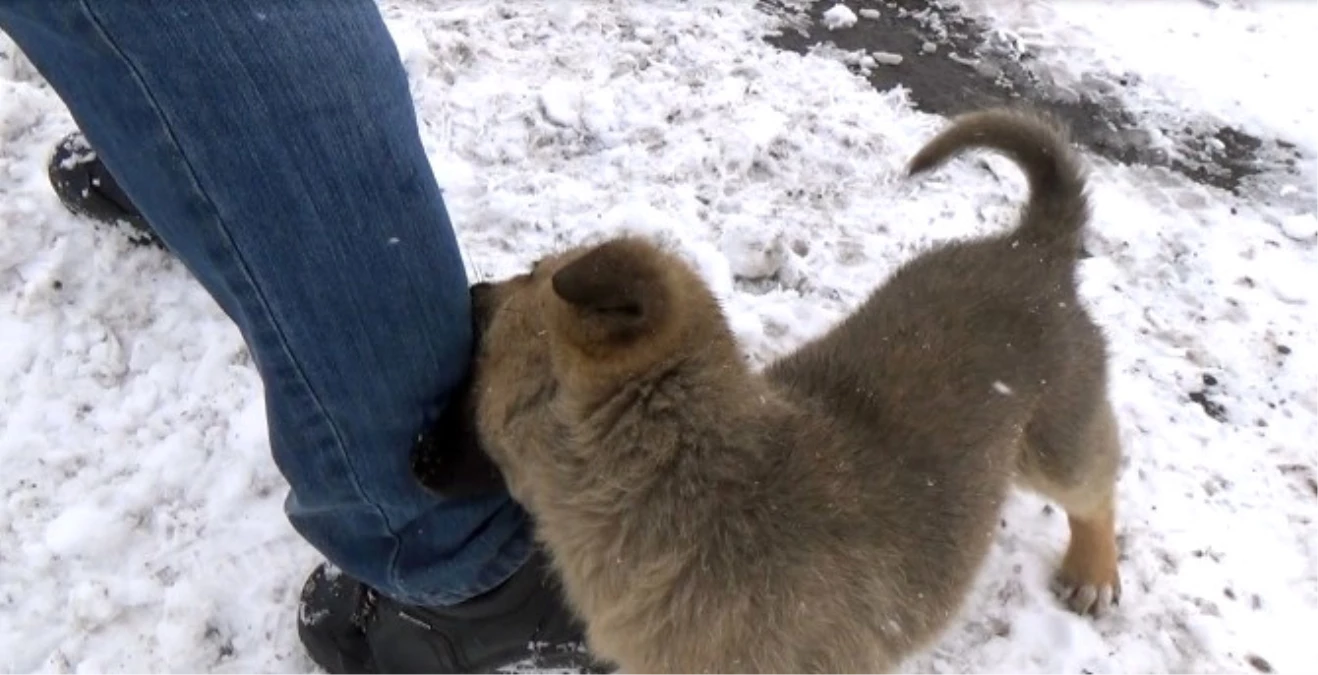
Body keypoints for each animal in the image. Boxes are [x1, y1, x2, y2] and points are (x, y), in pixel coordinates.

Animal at [461, 109, 1122, 675]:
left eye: (532, 271)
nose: (473, 291)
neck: (691, 474)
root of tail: (1034, 246)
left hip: (1057, 438)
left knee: (1097, 484)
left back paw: (1093, 573)